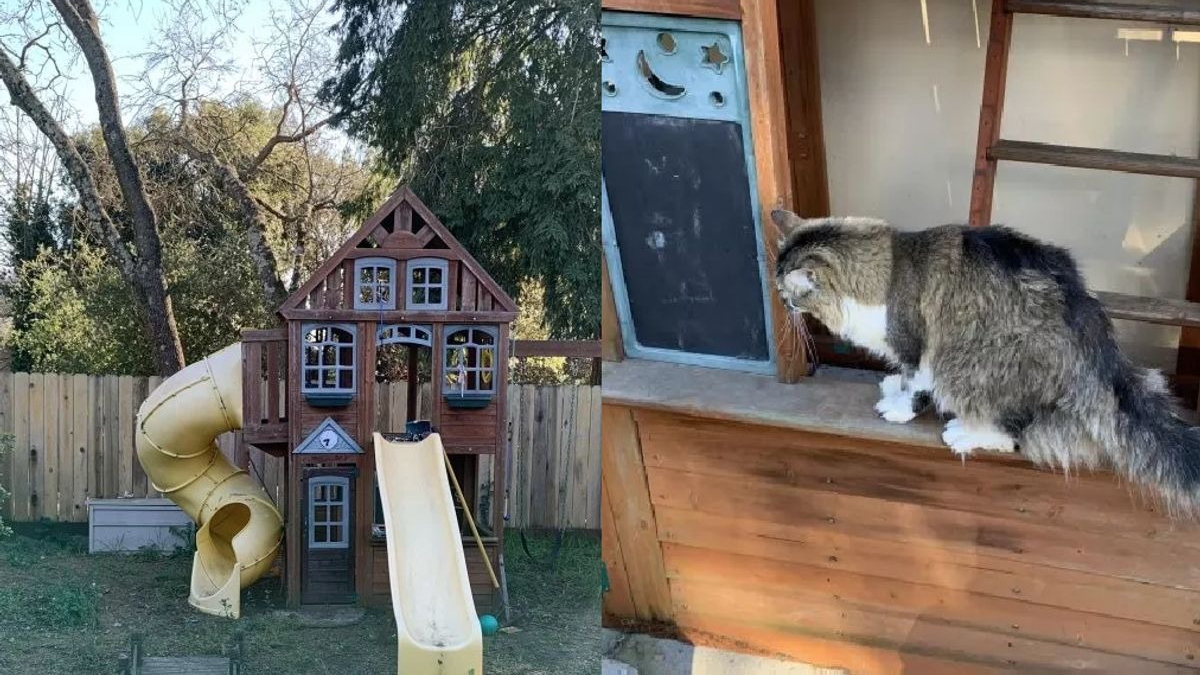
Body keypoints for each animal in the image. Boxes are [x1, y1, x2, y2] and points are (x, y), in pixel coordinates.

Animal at [768, 207, 1200, 506]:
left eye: (788, 294)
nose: (782, 304)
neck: (889, 270)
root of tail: (1102, 357)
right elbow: (901, 376)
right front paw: (891, 387)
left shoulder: (919, 348)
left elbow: (914, 383)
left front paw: (899, 408)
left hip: (972, 364)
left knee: (1019, 435)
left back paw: (963, 432)